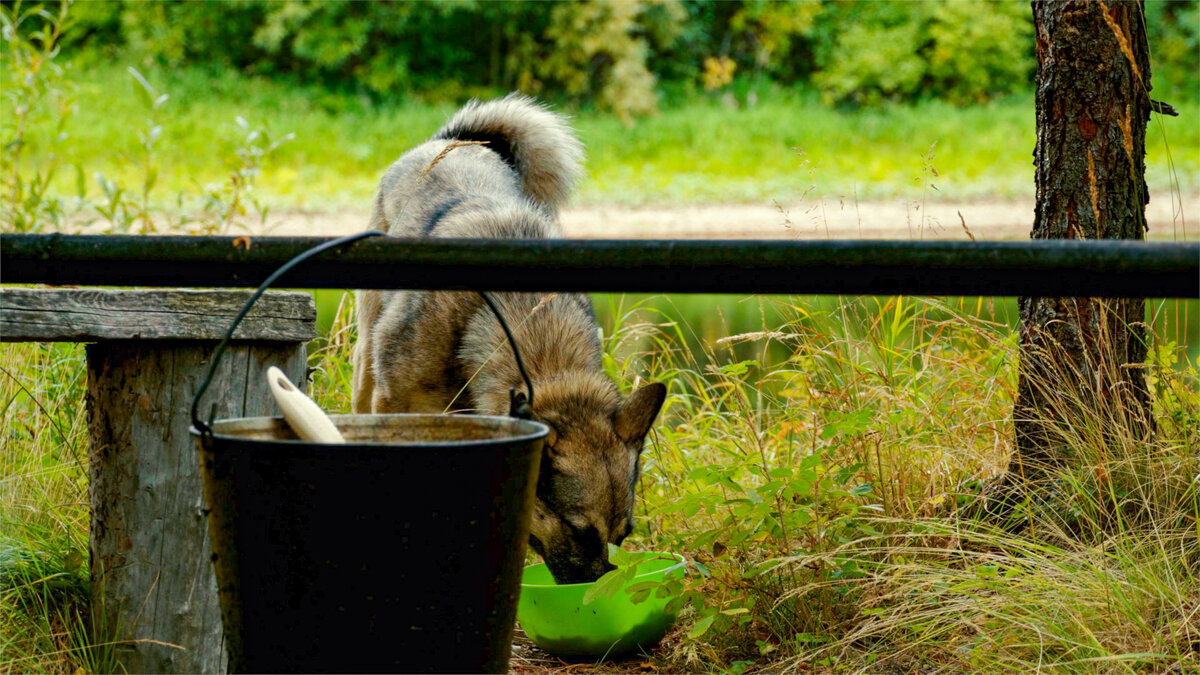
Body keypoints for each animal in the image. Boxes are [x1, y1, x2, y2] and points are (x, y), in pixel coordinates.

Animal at [350, 94, 672, 583]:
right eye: (579, 531)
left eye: (623, 533)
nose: (595, 590)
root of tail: (453, 140)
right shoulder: (396, 407)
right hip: (367, 359)